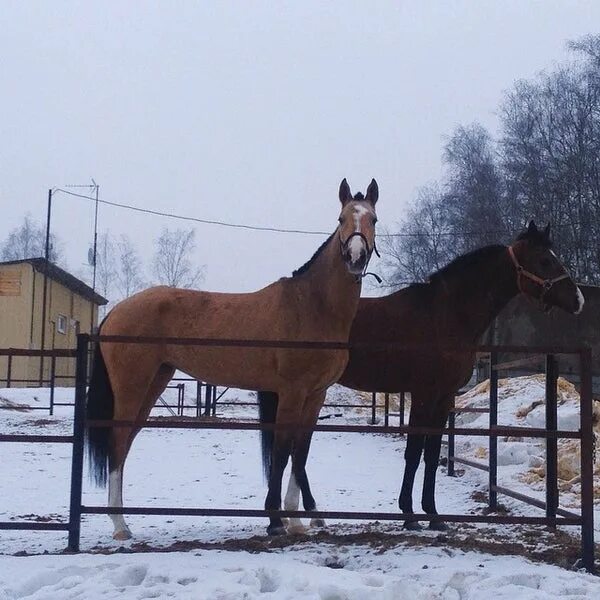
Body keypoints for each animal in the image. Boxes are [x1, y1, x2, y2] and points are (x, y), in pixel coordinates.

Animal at [86, 178, 380, 540]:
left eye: (373, 220)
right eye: (341, 219)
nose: (356, 257)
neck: (312, 306)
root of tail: (115, 312)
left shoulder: (315, 396)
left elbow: (300, 454)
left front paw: (299, 519)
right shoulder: (292, 392)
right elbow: (281, 453)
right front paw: (276, 520)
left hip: (155, 382)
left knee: (125, 444)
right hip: (132, 387)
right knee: (117, 442)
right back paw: (120, 524)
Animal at [260, 221, 584, 528]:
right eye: (545, 260)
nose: (579, 300)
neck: (447, 315)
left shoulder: (443, 398)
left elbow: (431, 454)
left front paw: (433, 514)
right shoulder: (423, 394)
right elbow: (414, 452)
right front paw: (409, 514)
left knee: (295, 449)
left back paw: (303, 514)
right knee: (291, 448)